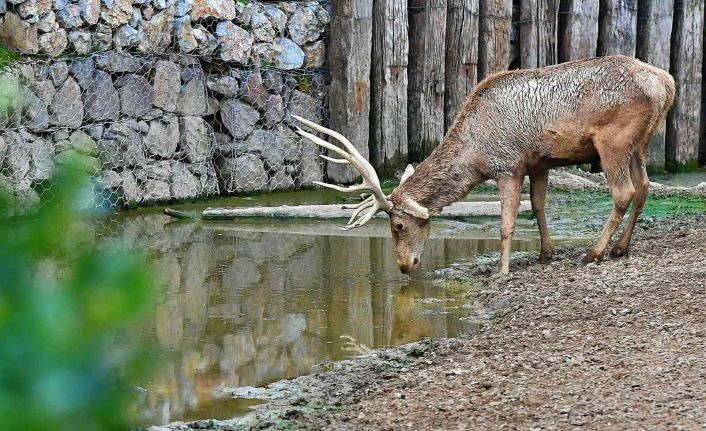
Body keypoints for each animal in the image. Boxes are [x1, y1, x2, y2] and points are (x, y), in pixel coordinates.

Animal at [290, 55, 672, 276]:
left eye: (398, 225)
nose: (404, 266)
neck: (475, 153)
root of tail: (666, 84)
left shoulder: (507, 164)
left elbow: (506, 223)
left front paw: (501, 271)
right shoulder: (539, 162)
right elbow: (538, 207)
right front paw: (546, 254)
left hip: (614, 140)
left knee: (623, 191)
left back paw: (594, 253)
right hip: (640, 144)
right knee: (644, 187)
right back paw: (621, 248)